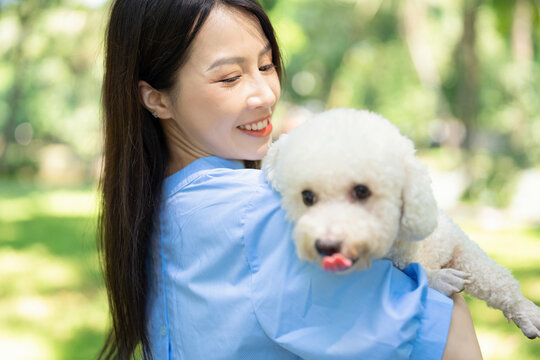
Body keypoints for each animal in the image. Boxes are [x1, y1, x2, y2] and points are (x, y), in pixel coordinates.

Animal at [264, 108, 540, 338]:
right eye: (307, 197)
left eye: (362, 191)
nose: (327, 245)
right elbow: (415, 270)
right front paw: (438, 278)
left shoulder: (455, 243)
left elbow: (493, 276)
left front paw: (525, 311)